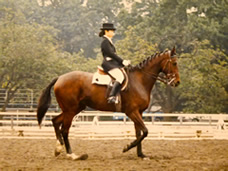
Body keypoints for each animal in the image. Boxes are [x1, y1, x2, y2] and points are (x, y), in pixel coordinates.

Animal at [37, 46, 180, 160]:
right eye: (174, 63)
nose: (177, 82)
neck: (139, 80)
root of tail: (59, 78)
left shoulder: (138, 112)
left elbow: (139, 133)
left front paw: (141, 155)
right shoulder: (132, 112)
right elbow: (145, 131)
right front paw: (127, 147)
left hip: (73, 109)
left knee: (55, 121)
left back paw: (58, 149)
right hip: (70, 110)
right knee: (65, 130)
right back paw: (73, 155)